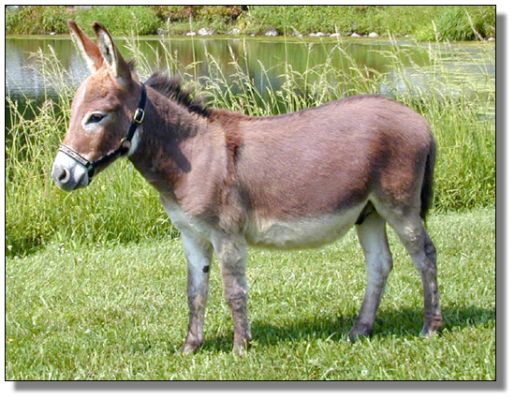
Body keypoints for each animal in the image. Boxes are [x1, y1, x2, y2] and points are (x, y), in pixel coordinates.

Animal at [52, 21, 442, 354]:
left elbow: (233, 290)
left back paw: (430, 327)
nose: (60, 175)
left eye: (96, 117)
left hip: (399, 206)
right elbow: (195, 292)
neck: (193, 153)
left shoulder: (227, 234)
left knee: (424, 255)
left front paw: (241, 347)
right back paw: (360, 330)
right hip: (369, 211)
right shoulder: (191, 235)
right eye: (72, 111)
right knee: (380, 263)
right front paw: (190, 347)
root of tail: (420, 119)